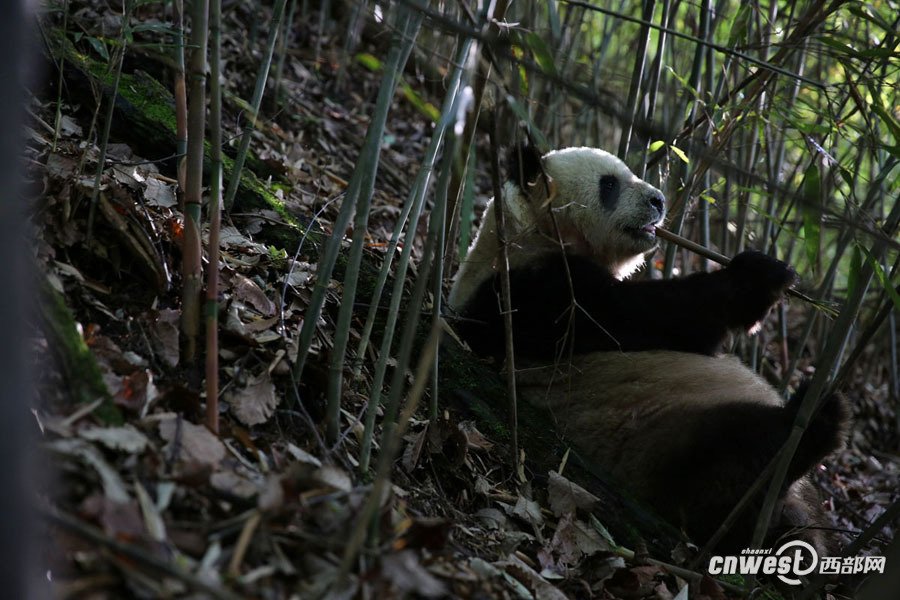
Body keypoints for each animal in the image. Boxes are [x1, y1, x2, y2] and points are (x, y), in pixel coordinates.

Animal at [448, 145, 850, 553]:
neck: (529, 230)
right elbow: (658, 318)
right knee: (727, 459)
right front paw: (759, 275)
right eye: (609, 185)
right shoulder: (533, 293)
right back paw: (813, 422)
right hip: (657, 441)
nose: (658, 200)